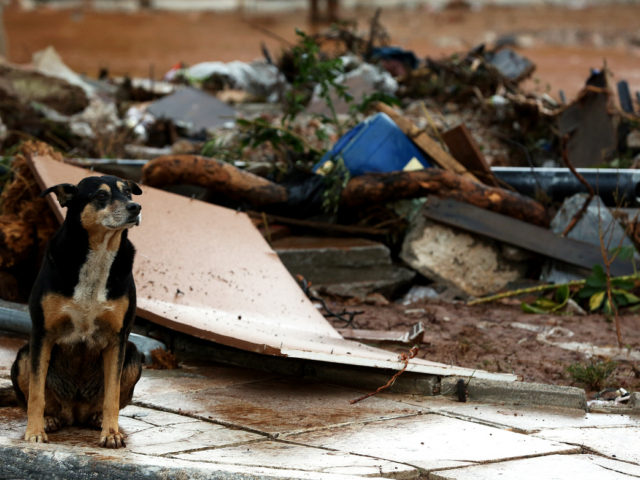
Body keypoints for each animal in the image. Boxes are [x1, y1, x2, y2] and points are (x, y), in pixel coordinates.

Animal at [11, 174, 144, 448]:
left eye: (128, 193)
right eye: (101, 195)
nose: (136, 208)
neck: (100, 253)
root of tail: (74, 412)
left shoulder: (118, 339)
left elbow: (112, 395)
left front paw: (111, 433)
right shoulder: (42, 333)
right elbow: (36, 393)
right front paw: (34, 432)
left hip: (134, 356)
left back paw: (97, 418)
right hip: (23, 356)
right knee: (39, 399)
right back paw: (50, 419)